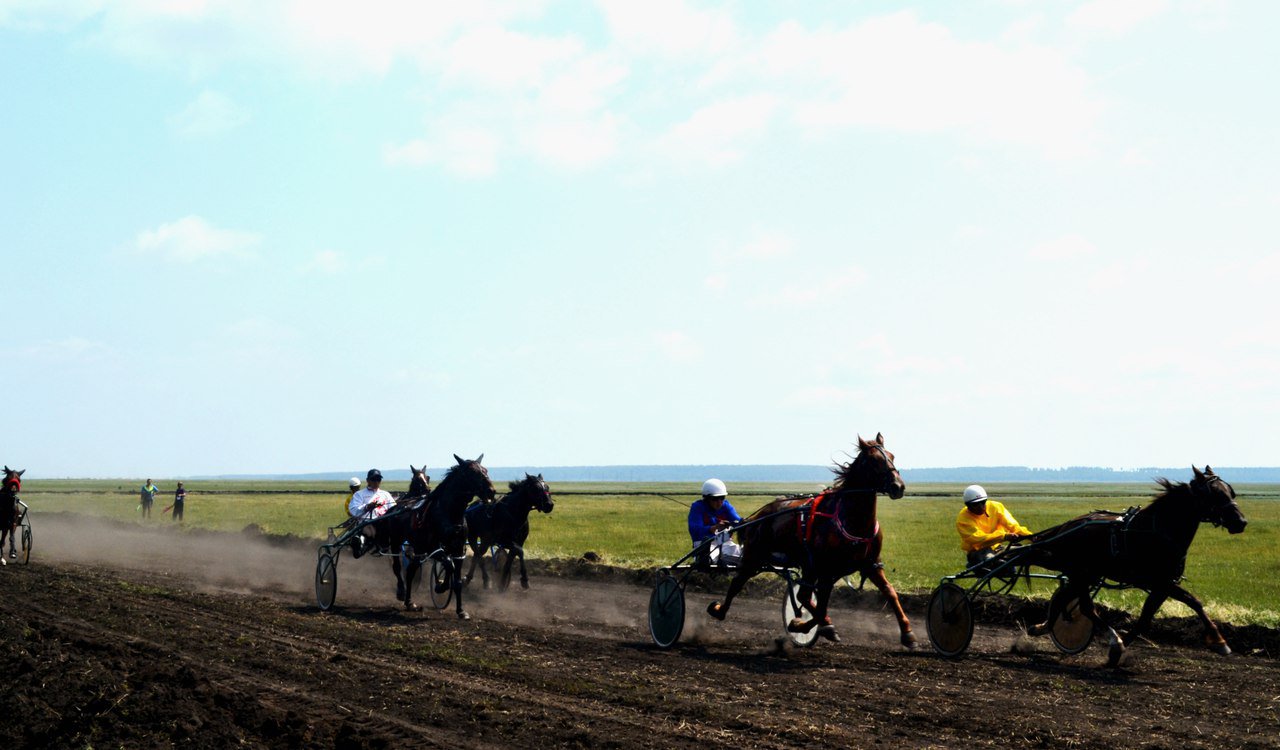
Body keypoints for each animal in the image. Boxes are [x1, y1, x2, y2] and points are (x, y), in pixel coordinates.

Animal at [381, 453, 491, 616]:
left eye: (485, 470)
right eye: (473, 473)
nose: (491, 490)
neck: (450, 514)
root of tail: (396, 506)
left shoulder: (458, 550)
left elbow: (457, 578)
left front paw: (461, 610)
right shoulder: (433, 548)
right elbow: (449, 564)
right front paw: (440, 586)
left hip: (418, 547)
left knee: (411, 570)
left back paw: (410, 602)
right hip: (396, 541)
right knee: (397, 567)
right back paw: (401, 591)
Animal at [706, 435, 916, 645]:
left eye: (892, 456)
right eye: (873, 460)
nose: (898, 486)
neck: (852, 521)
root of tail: (756, 517)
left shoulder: (870, 564)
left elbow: (890, 592)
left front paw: (908, 633)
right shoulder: (826, 569)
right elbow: (820, 608)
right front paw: (803, 625)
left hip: (806, 565)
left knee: (804, 596)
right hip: (755, 558)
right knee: (738, 583)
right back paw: (719, 610)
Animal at [1018, 463, 1249, 660]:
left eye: (1231, 491)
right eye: (1215, 494)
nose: (1241, 522)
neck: (1158, 531)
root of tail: (1067, 526)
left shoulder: (1163, 586)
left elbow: (1148, 618)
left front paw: (1121, 648)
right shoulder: (1159, 582)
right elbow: (1193, 602)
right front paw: (1219, 642)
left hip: (1085, 574)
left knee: (1065, 600)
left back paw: (1041, 627)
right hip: (1081, 573)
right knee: (1085, 607)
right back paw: (1112, 638)